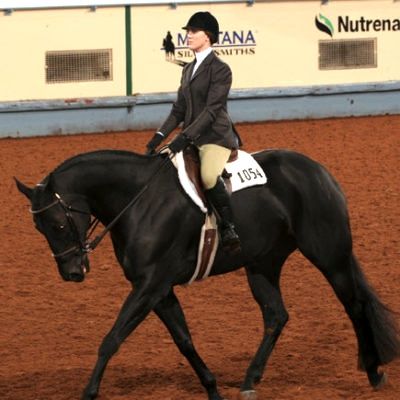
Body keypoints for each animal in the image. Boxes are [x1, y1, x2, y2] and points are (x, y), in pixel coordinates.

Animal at [15, 149, 400, 400]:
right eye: (37, 227)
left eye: (57, 223)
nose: (72, 272)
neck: (140, 202)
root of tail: (318, 170)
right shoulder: (158, 290)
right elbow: (184, 340)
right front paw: (213, 388)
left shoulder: (149, 286)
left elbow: (112, 339)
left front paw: (89, 392)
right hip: (262, 264)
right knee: (276, 315)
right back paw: (250, 380)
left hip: (329, 256)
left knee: (355, 306)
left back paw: (374, 372)